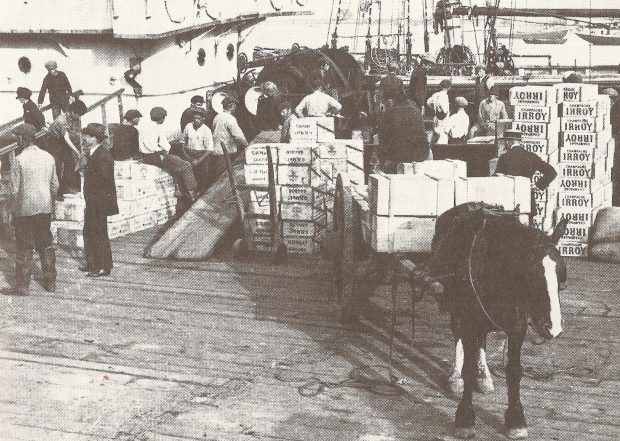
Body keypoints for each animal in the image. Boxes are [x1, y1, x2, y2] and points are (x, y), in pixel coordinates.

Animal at [426, 202, 568, 436]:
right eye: (531, 274)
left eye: (561, 274)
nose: (553, 328)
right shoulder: (468, 319)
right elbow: (467, 366)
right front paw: (465, 417)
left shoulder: (518, 326)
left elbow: (514, 370)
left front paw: (516, 418)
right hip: (455, 306)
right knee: (457, 334)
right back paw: (455, 377)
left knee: (482, 338)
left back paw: (484, 376)